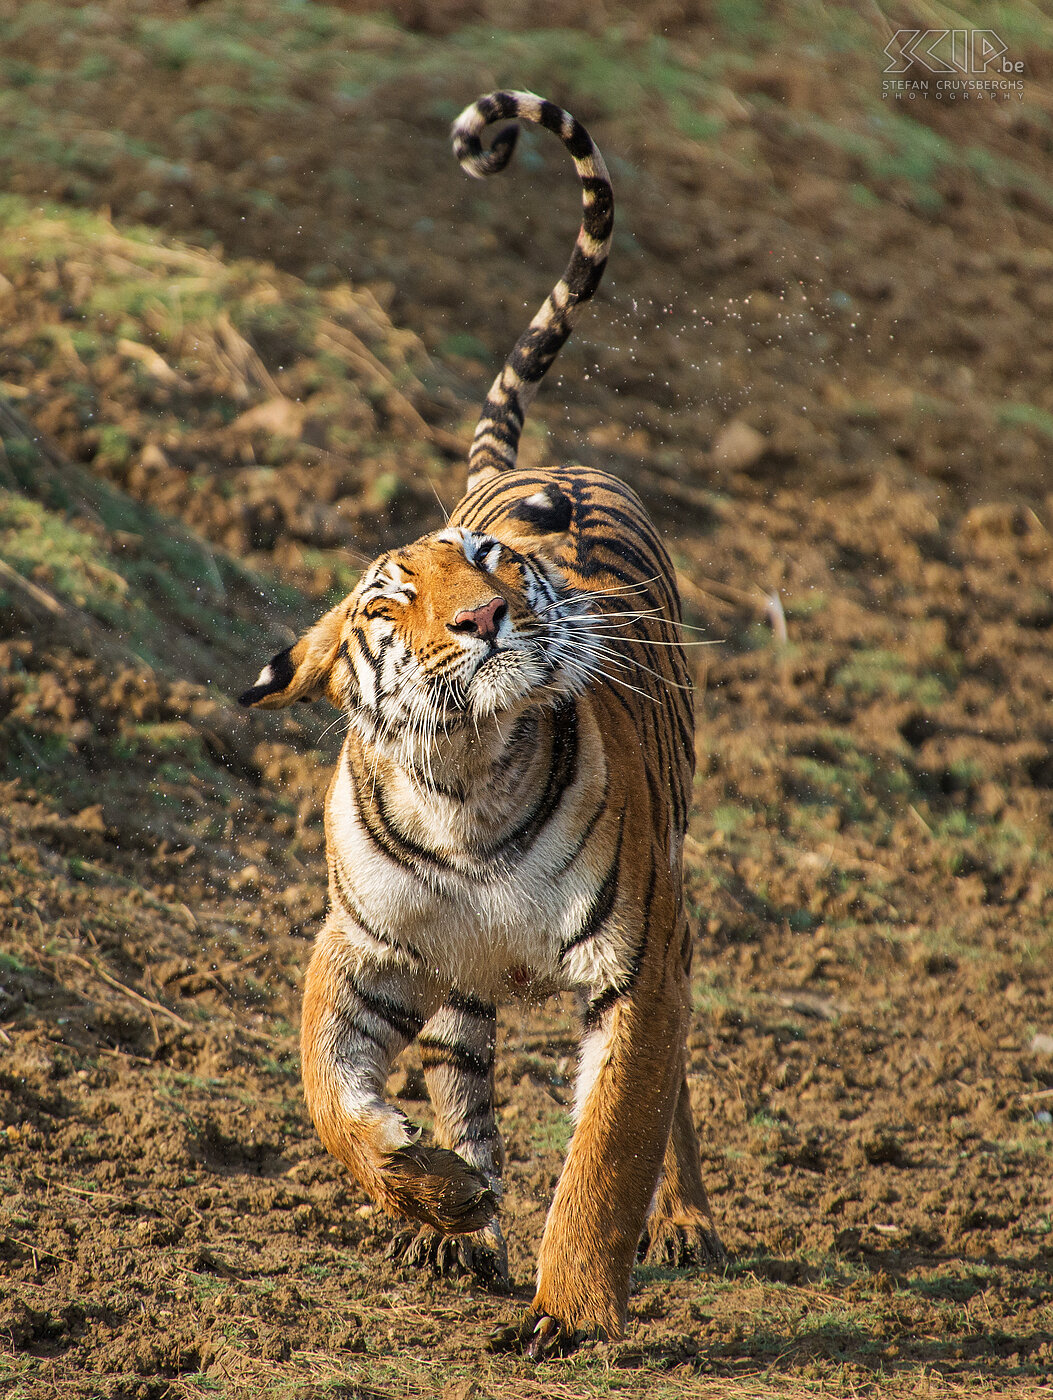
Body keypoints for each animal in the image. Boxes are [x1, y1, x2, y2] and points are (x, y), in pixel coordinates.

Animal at [242, 87, 722, 1355]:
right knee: (463, 1068)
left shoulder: (636, 961)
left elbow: (609, 1145)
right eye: (386, 601)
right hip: (458, 987)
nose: (486, 614)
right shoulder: (360, 951)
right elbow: (332, 1098)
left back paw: (686, 1221)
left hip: (675, 908)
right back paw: (462, 1222)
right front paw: (438, 1193)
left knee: (668, 1099)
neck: (460, 786)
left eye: (492, 564)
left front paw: (571, 1309)